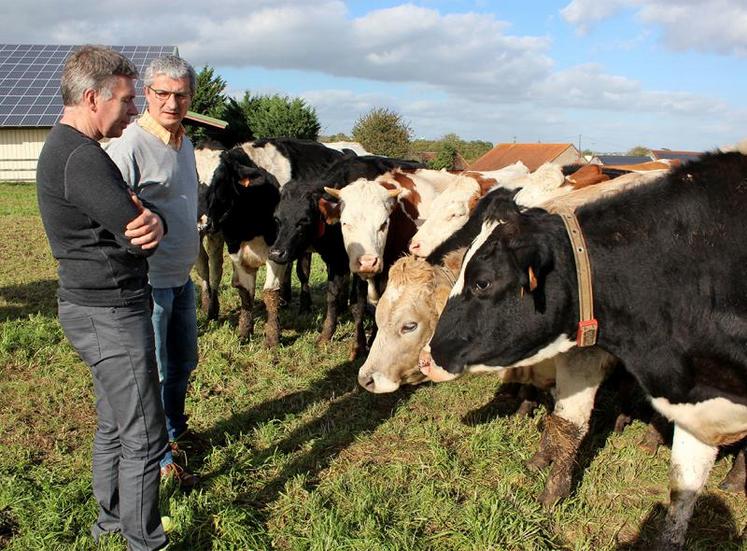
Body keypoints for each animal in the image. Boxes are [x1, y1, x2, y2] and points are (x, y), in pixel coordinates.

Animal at [205, 137, 344, 344]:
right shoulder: (237, 252)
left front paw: (272, 338)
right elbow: (245, 293)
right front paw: (245, 333)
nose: (203, 223)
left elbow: (270, 292)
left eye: (220, 180)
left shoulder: (276, 252)